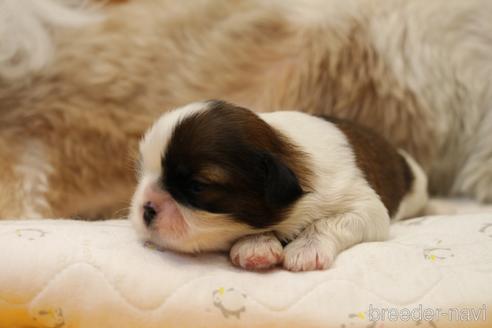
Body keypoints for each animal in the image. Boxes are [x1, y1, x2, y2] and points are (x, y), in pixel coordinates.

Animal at [130, 100, 426, 272]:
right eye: (141, 170)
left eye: (196, 187)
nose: (146, 209)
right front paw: (256, 245)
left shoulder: (365, 205)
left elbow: (329, 221)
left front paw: (305, 249)